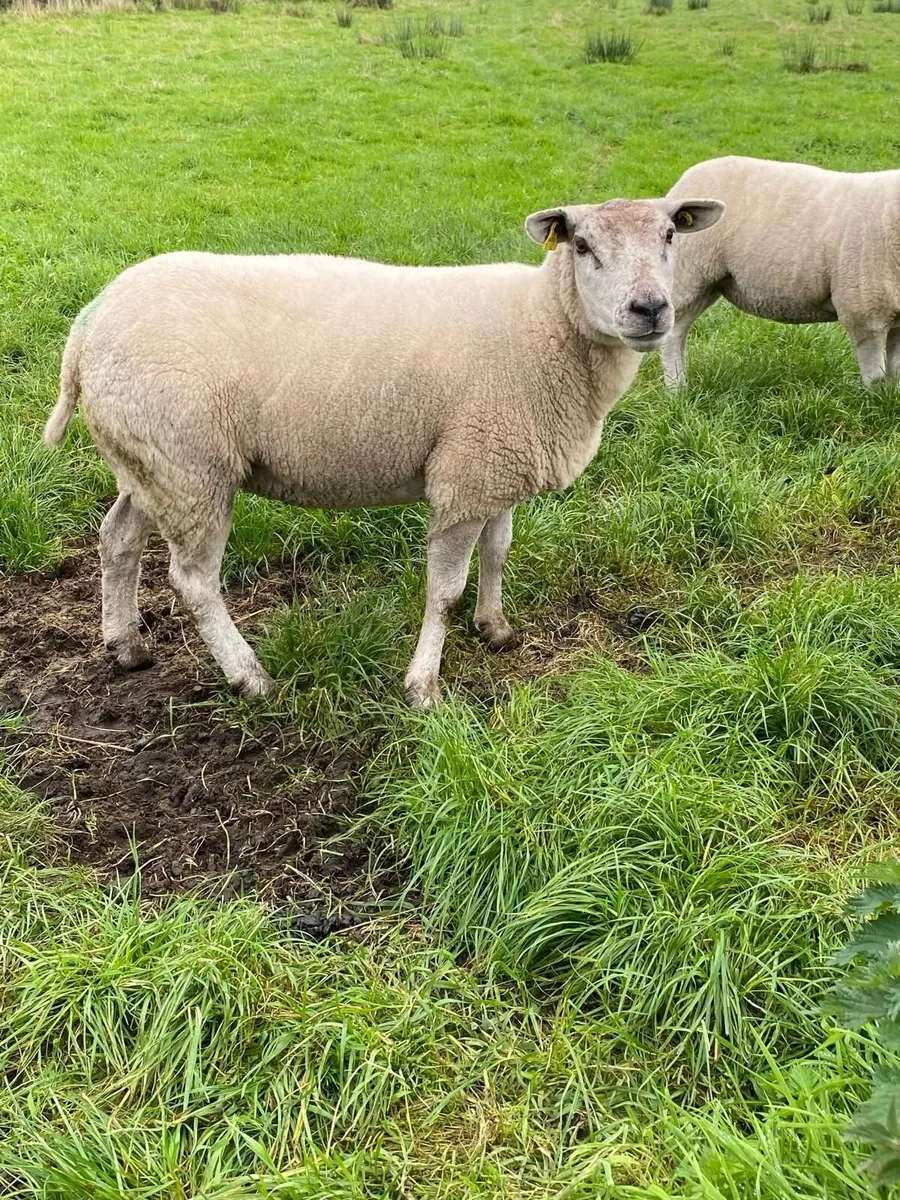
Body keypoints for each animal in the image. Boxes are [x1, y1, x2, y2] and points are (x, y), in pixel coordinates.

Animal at [43, 196, 723, 708]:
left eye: (670, 235)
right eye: (581, 246)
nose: (650, 309)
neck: (545, 325)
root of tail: (88, 323)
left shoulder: (499, 463)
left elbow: (499, 552)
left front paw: (495, 629)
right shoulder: (466, 475)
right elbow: (444, 590)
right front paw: (424, 687)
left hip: (151, 460)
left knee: (117, 536)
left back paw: (125, 645)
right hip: (191, 467)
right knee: (194, 580)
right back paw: (250, 676)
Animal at [661, 155, 900, 388]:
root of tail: (685, 178)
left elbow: (895, 369)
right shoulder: (865, 314)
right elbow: (875, 378)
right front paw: (876, 398)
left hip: (709, 282)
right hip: (688, 275)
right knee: (672, 335)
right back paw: (677, 389)